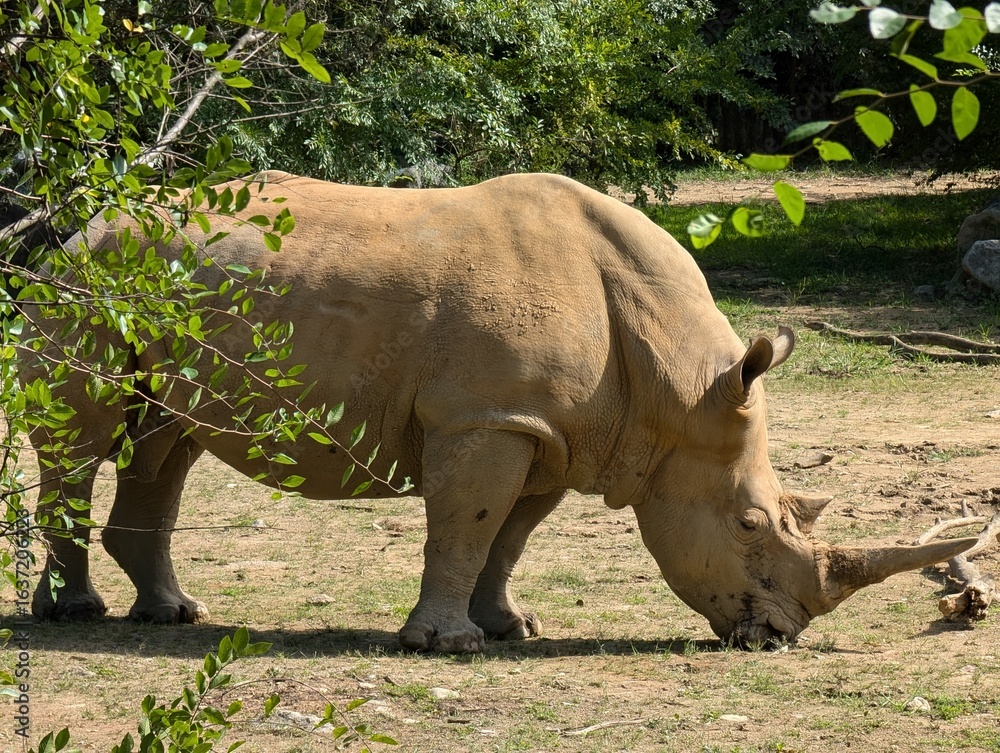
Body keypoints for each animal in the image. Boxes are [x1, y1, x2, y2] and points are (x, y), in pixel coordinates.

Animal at [20, 171, 974, 652]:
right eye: (748, 524)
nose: (778, 634)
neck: (676, 384)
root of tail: (78, 227)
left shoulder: (550, 429)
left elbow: (508, 537)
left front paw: (510, 626)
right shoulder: (486, 417)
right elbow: (464, 526)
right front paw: (447, 645)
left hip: (157, 286)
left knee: (165, 441)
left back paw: (173, 615)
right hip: (91, 284)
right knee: (84, 436)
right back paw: (76, 615)